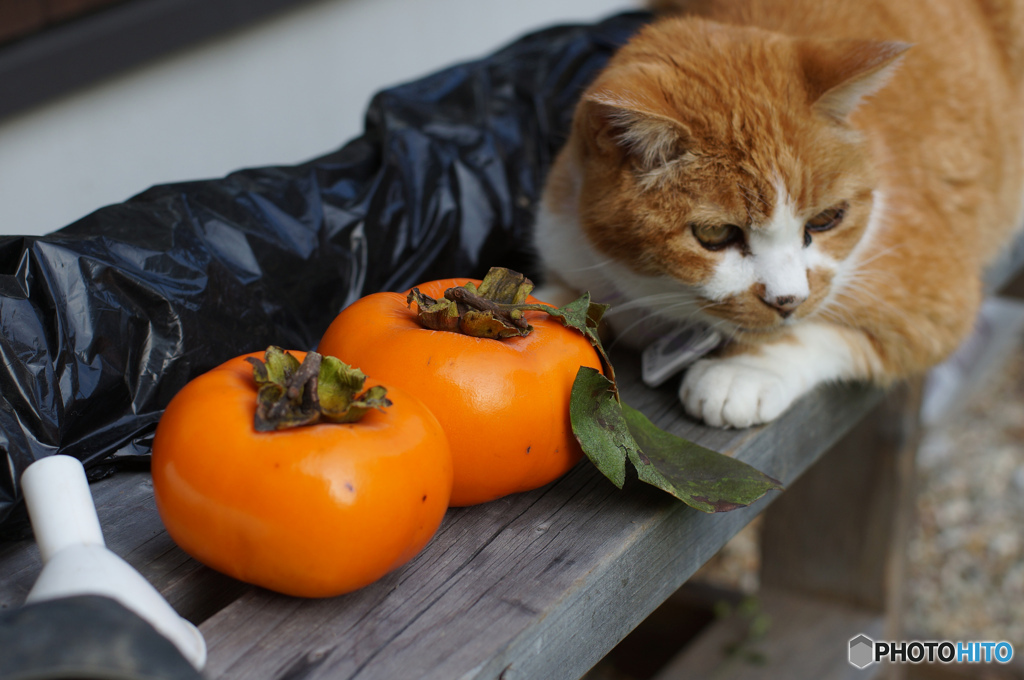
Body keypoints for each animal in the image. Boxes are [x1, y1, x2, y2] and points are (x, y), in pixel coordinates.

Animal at [536, 0, 1024, 426]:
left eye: (826, 219)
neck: (658, 303)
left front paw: (744, 371)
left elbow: (819, 327)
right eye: (715, 234)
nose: (788, 300)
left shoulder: (931, 291)